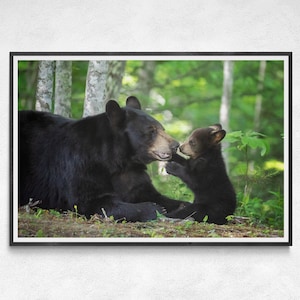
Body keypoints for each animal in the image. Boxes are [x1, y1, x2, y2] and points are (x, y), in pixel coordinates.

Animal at [18, 96, 185, 220]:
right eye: (151, 130)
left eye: (162, 128)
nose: (175, 145)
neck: (118, 159)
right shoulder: (81, 165)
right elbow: (91, 201)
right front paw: (154, 208)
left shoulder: (131, 174)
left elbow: (148, 193)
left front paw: (181, 206)